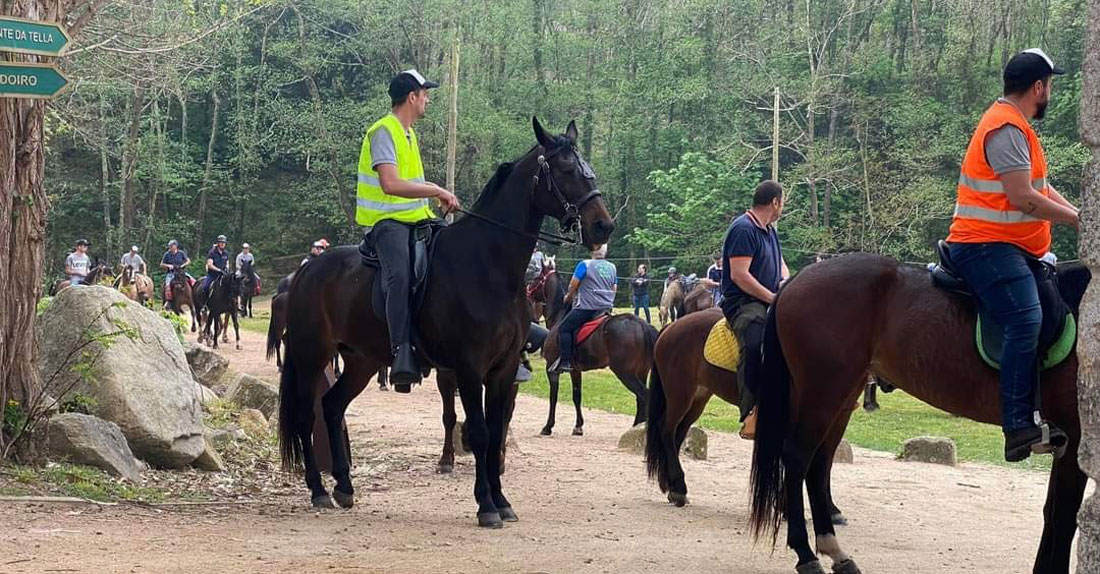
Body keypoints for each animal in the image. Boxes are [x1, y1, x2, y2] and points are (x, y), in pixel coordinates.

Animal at [275, 118, 616, 525]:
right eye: (565, 169)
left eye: (586, 167)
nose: (603, 226)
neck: (488, 265)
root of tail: (307, 270)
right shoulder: (468, 367)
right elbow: (480, 432)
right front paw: (486, 506)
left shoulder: (502, 369)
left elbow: (496, 431)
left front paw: (502, 501)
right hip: (312, 357)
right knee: (304, 416)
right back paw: (318, 489)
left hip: (361, 361)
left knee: (331, 406)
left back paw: (343, 485)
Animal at [539, 263, 655, 433]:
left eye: (537, 278)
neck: (560, 316)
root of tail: (641, 324)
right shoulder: (575, 370)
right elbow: (576, 396)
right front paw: (578, 426)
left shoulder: (551, 369)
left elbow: (553, 397)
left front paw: (548, 426)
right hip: (641, 372)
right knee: (640, 398)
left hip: (625, 373)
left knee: (644, 395)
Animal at [752, 254, 1086, 571]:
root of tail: (797, 280)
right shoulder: (1076, 438)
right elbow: (1063, 517)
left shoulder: (1066, 444)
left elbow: (1052, 513)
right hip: (824, 393)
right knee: (798, 458)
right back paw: (806, 555)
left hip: (838, 396)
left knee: (819, 464)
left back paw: (835, 552)